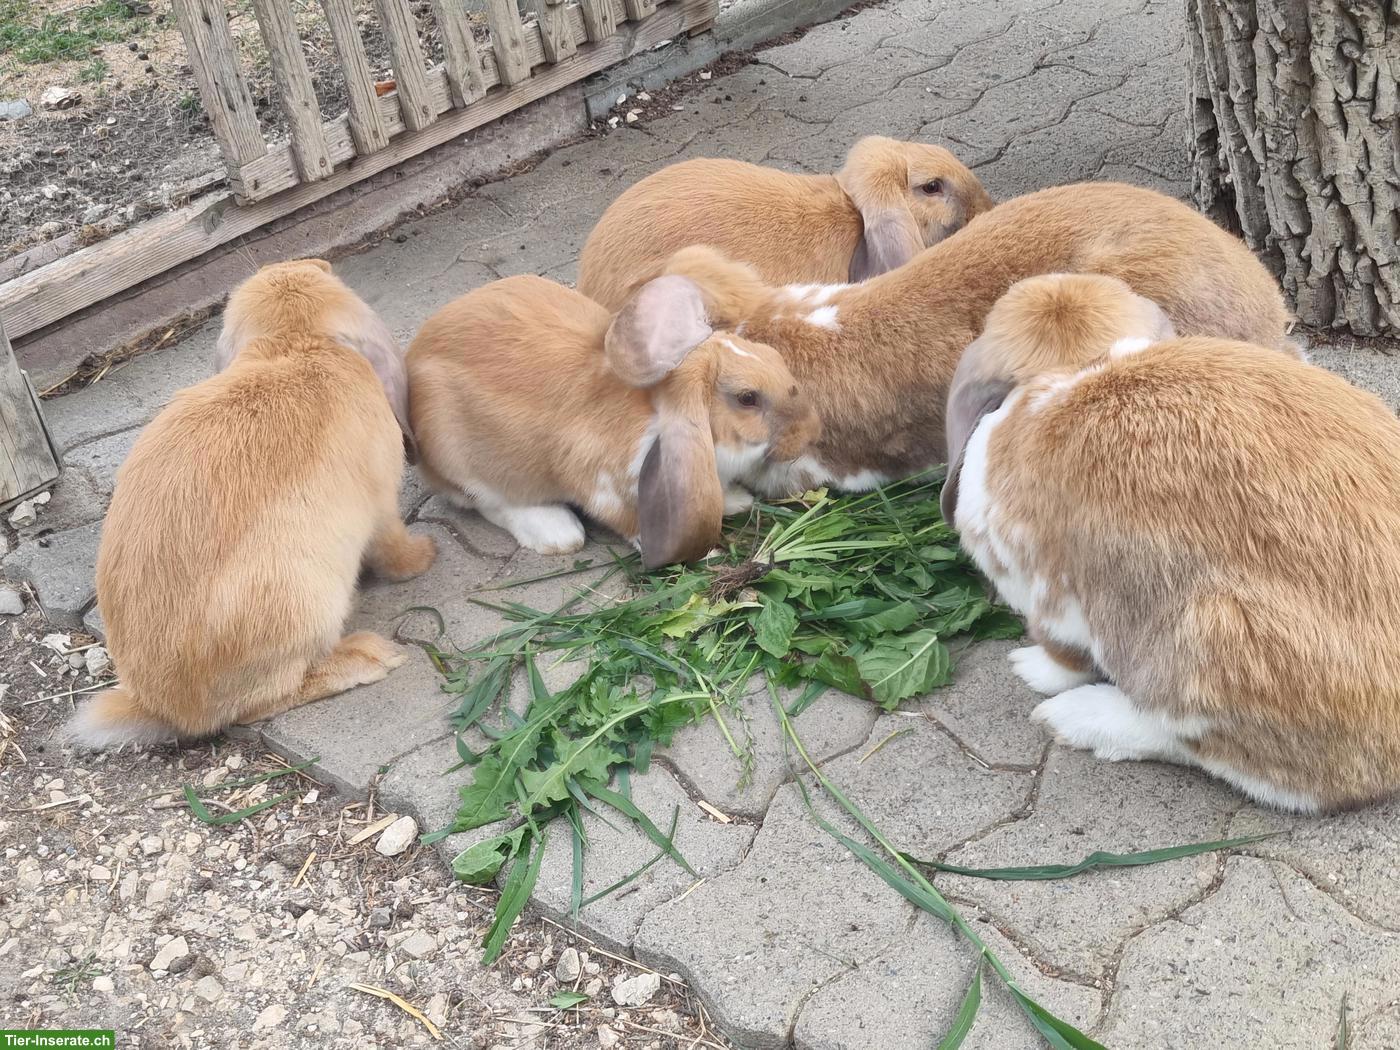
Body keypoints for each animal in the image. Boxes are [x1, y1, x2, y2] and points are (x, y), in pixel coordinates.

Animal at [68, 259, 436, 748]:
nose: (311, 264)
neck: (294, 345)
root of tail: (170, 707)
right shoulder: (380, 505)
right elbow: (392, 547)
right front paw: (425, 556)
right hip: (302, 601)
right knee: (266, 699)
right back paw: (371, 656)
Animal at [405, 273, 821, 569]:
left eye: (772, 356)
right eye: (747, 398)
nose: (809, 432)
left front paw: (736, 500)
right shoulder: (602, 481)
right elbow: (625, 518)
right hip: (467, 460)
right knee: (488, 501)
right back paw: (558, 533)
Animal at [943, 271, 1400, 813]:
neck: (1080, 369)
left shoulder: (1051, 592)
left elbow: (1064, 653)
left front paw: (1029, 668)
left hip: (1204, 646)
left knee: (1222, 757)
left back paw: (1074, 718)